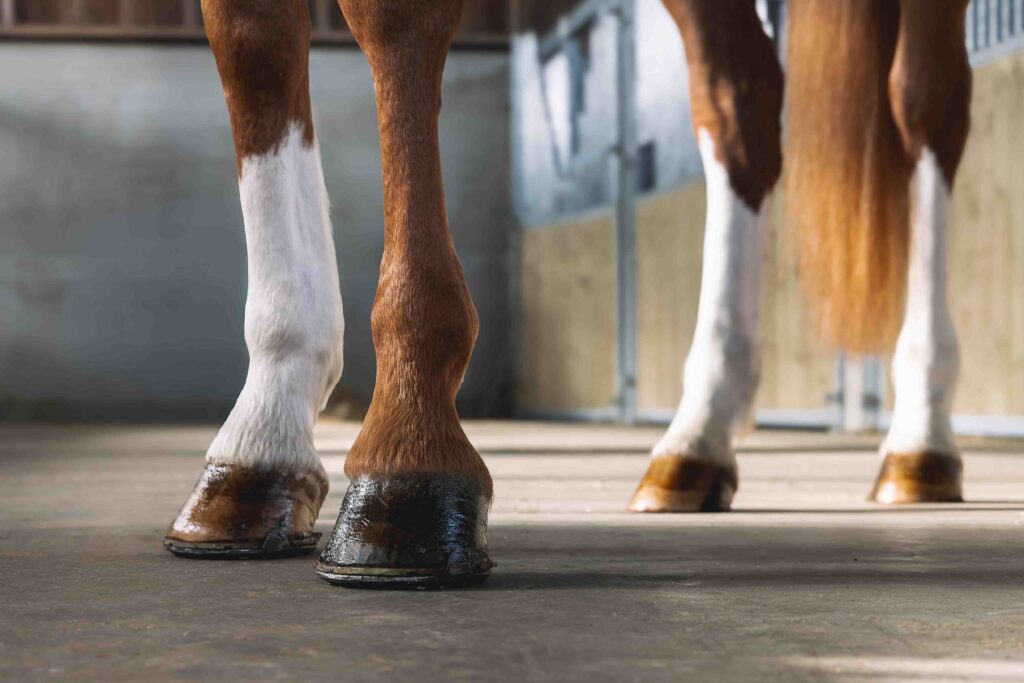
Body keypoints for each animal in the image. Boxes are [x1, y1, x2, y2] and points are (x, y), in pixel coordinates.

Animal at [162, 0, 972, 588]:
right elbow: (250, 39)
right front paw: (260, 443)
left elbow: (391, 19)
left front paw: (407, 462)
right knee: (738, 98)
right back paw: (698, 437)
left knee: (925, 101)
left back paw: (920, 439)